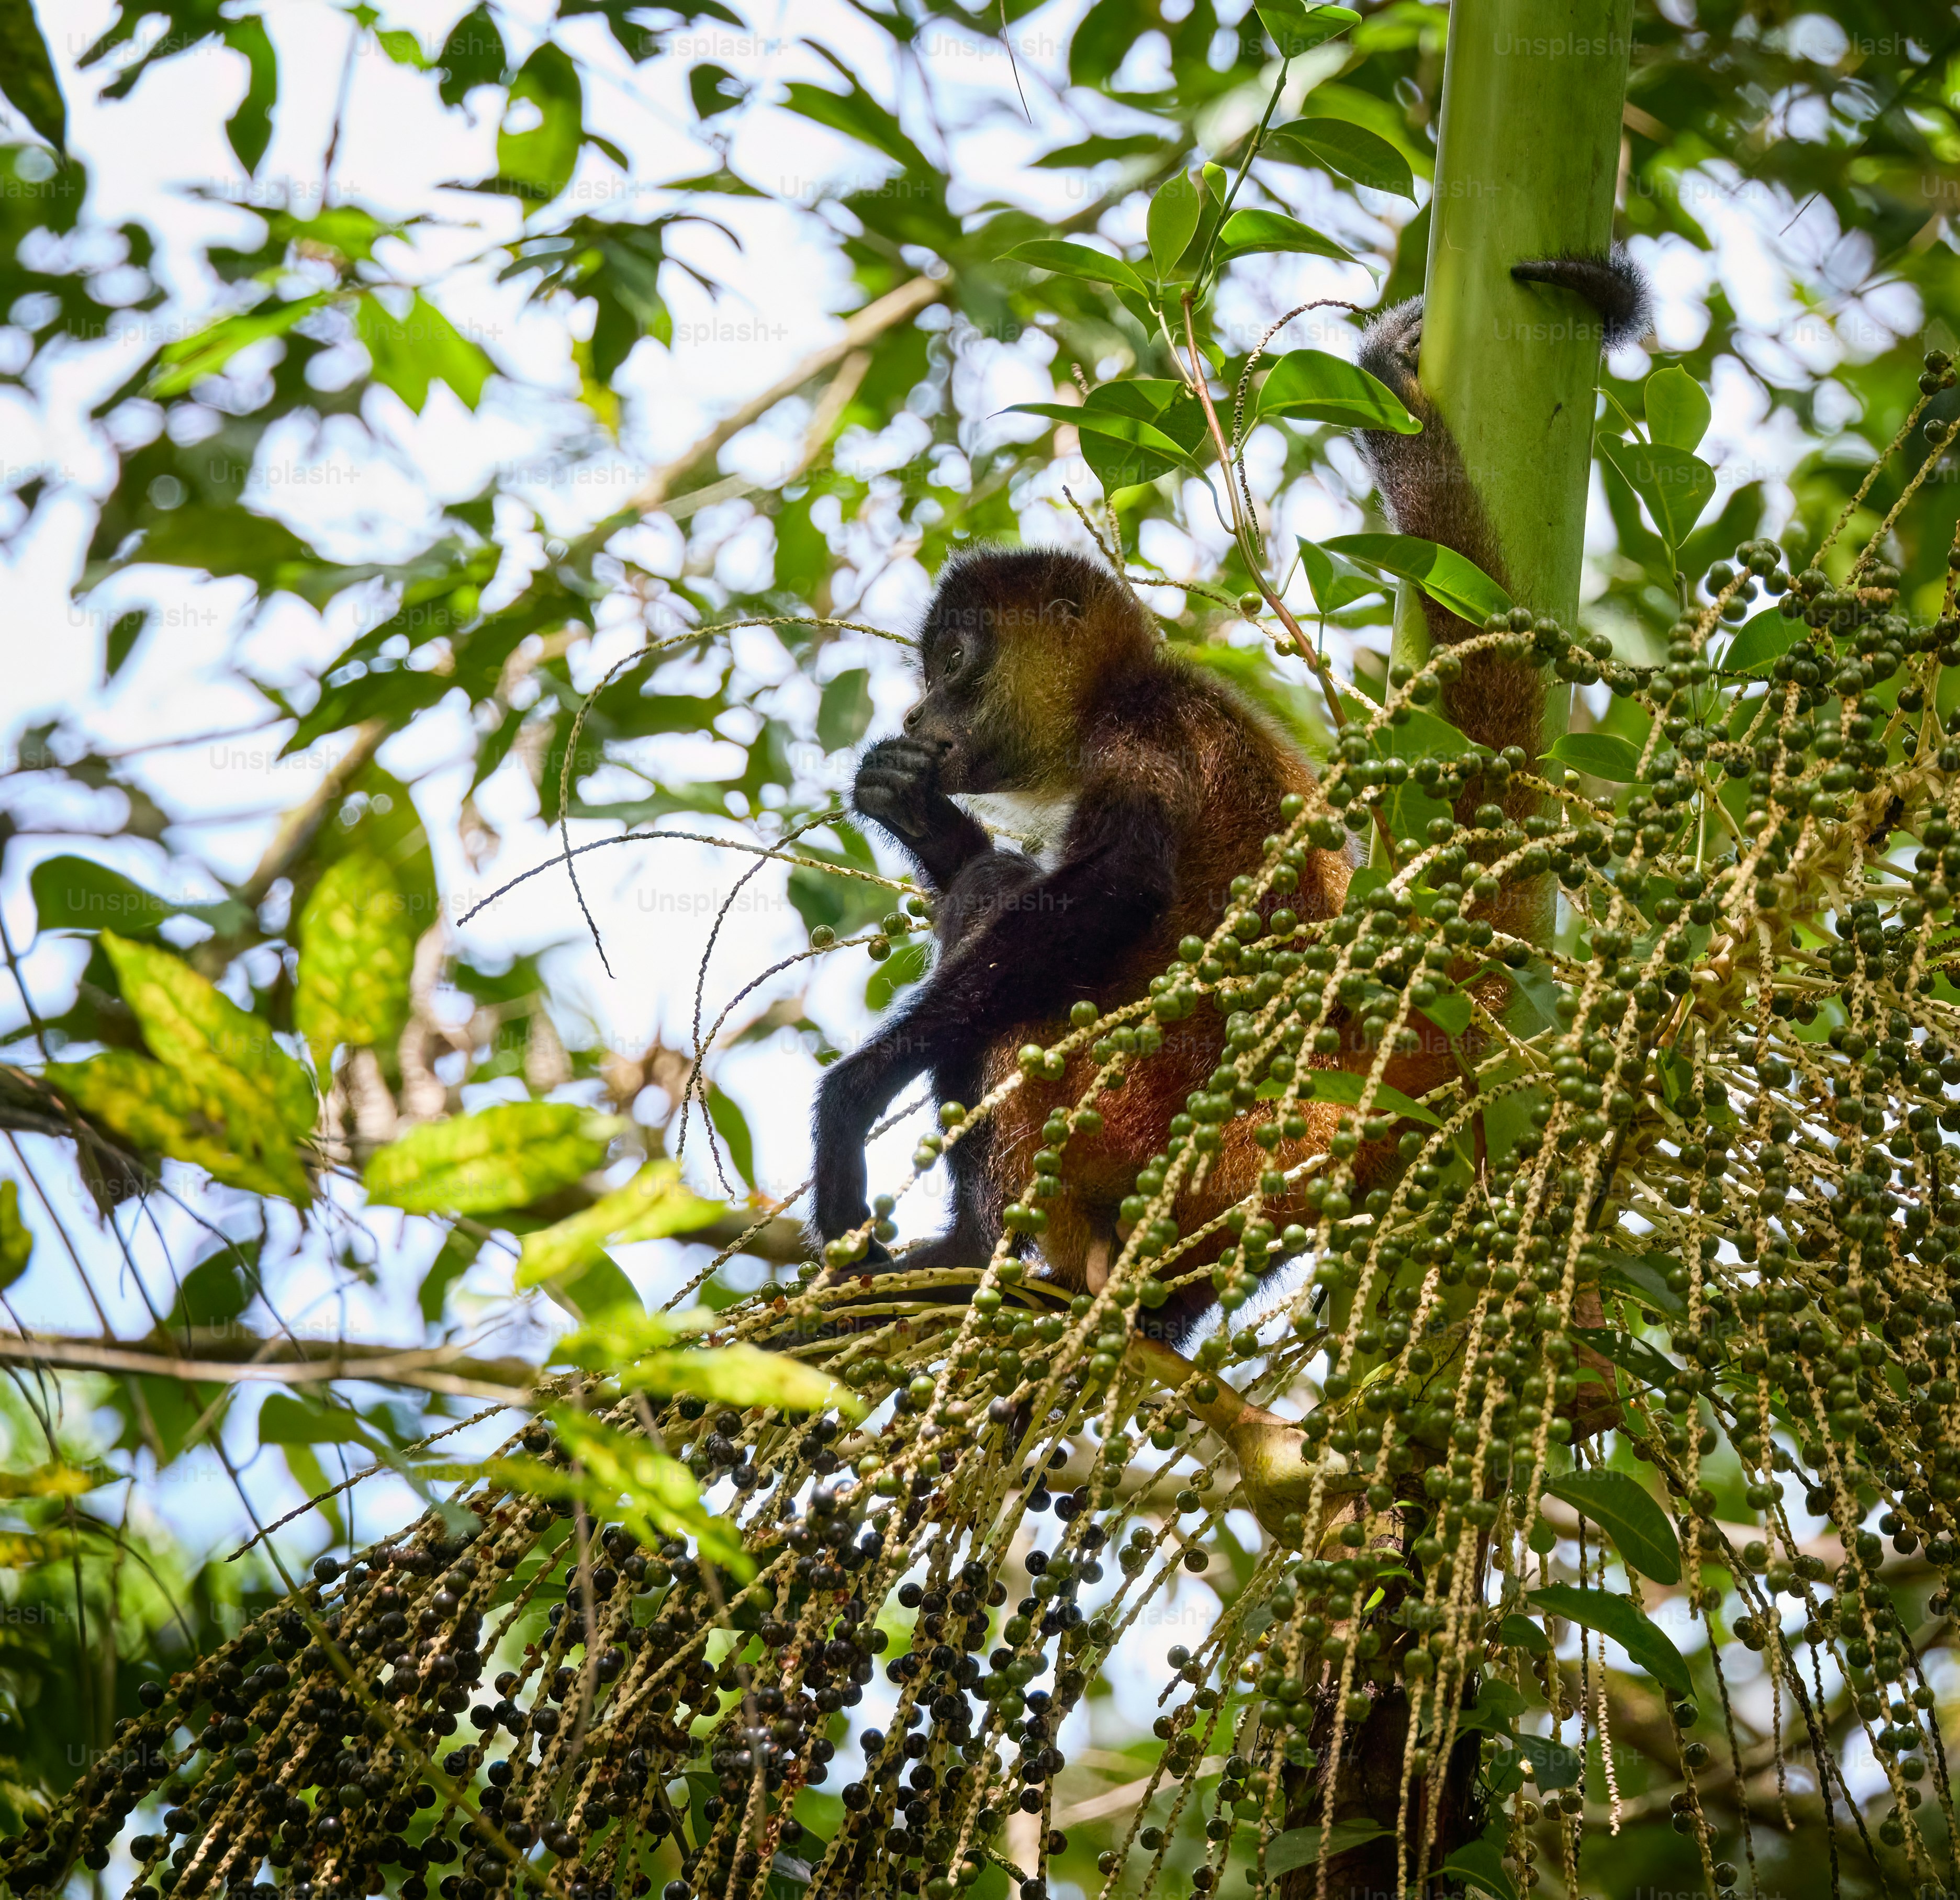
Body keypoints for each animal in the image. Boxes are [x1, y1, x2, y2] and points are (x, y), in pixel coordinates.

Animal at [809, 250, 1651, 1335]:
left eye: (951, 661)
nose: (917, 716)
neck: (1133, 686)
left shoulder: (1153, 736)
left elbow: (1117, 890)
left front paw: (854, 1095)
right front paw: (910, 804)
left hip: (1115, 1128)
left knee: (999, 915)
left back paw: (977, 1253)